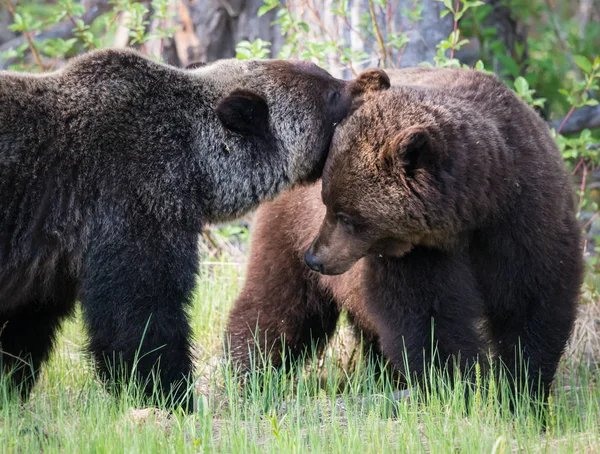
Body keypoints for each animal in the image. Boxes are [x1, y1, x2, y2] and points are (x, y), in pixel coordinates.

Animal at [225, 66, 580, 404]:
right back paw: (247, 374)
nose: (315, 257)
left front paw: (522, 392)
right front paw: (458, 388)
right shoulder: (417, 254)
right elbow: (428, 317)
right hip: (289, 227)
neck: (474, 211)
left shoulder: (525, 220)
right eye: (326, 201)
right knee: (279, 304)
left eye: (346, 216)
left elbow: (533, 305)